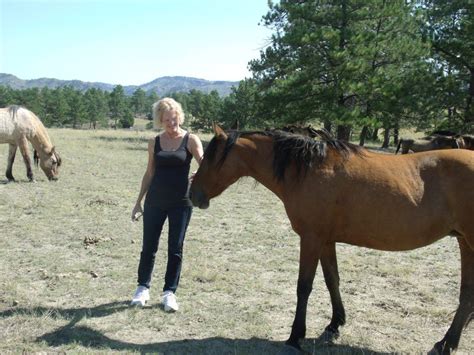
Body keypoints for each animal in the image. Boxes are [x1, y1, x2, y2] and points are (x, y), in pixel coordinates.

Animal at [191, 124, 474, 354]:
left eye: (210, 157)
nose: (192, 194)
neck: (310, 169)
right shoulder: (326, 241)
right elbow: (332, 280)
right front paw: (334, 324)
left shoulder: (311, 239)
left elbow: (304, 286)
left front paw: (295, 336)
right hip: (465, 243)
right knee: (467, 294)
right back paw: (446, 343)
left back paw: (446, 343)